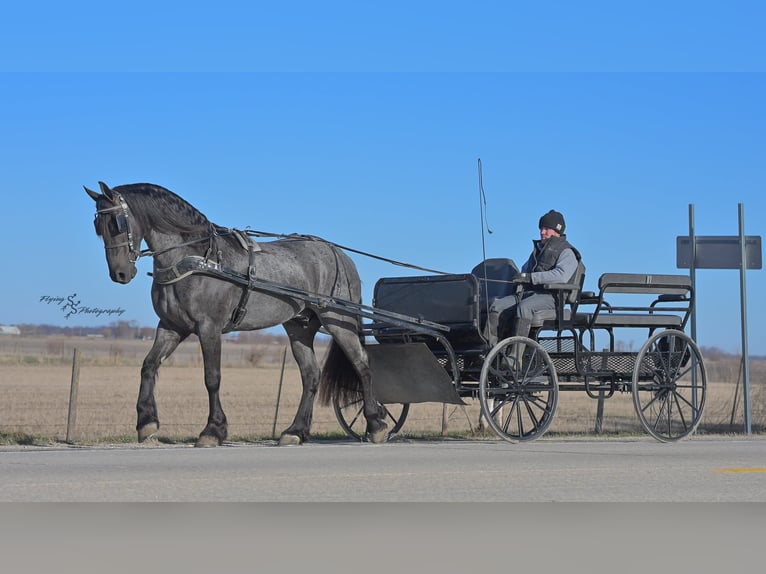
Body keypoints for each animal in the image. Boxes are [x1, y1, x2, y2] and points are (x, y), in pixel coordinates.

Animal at [85, 181, 388, 447]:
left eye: (117, 223)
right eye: (97, 226)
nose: (120, 274)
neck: (198, 260)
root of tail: (338, 253)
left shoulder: (209, 328)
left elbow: (212, 378)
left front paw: (212, 431)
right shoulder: (171, 326)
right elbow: (149, 365)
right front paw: (147, 423)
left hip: (339, 322)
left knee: (361, 364)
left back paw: (376, 425)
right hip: (299, 326)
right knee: (311, 375)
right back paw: (295, 431)